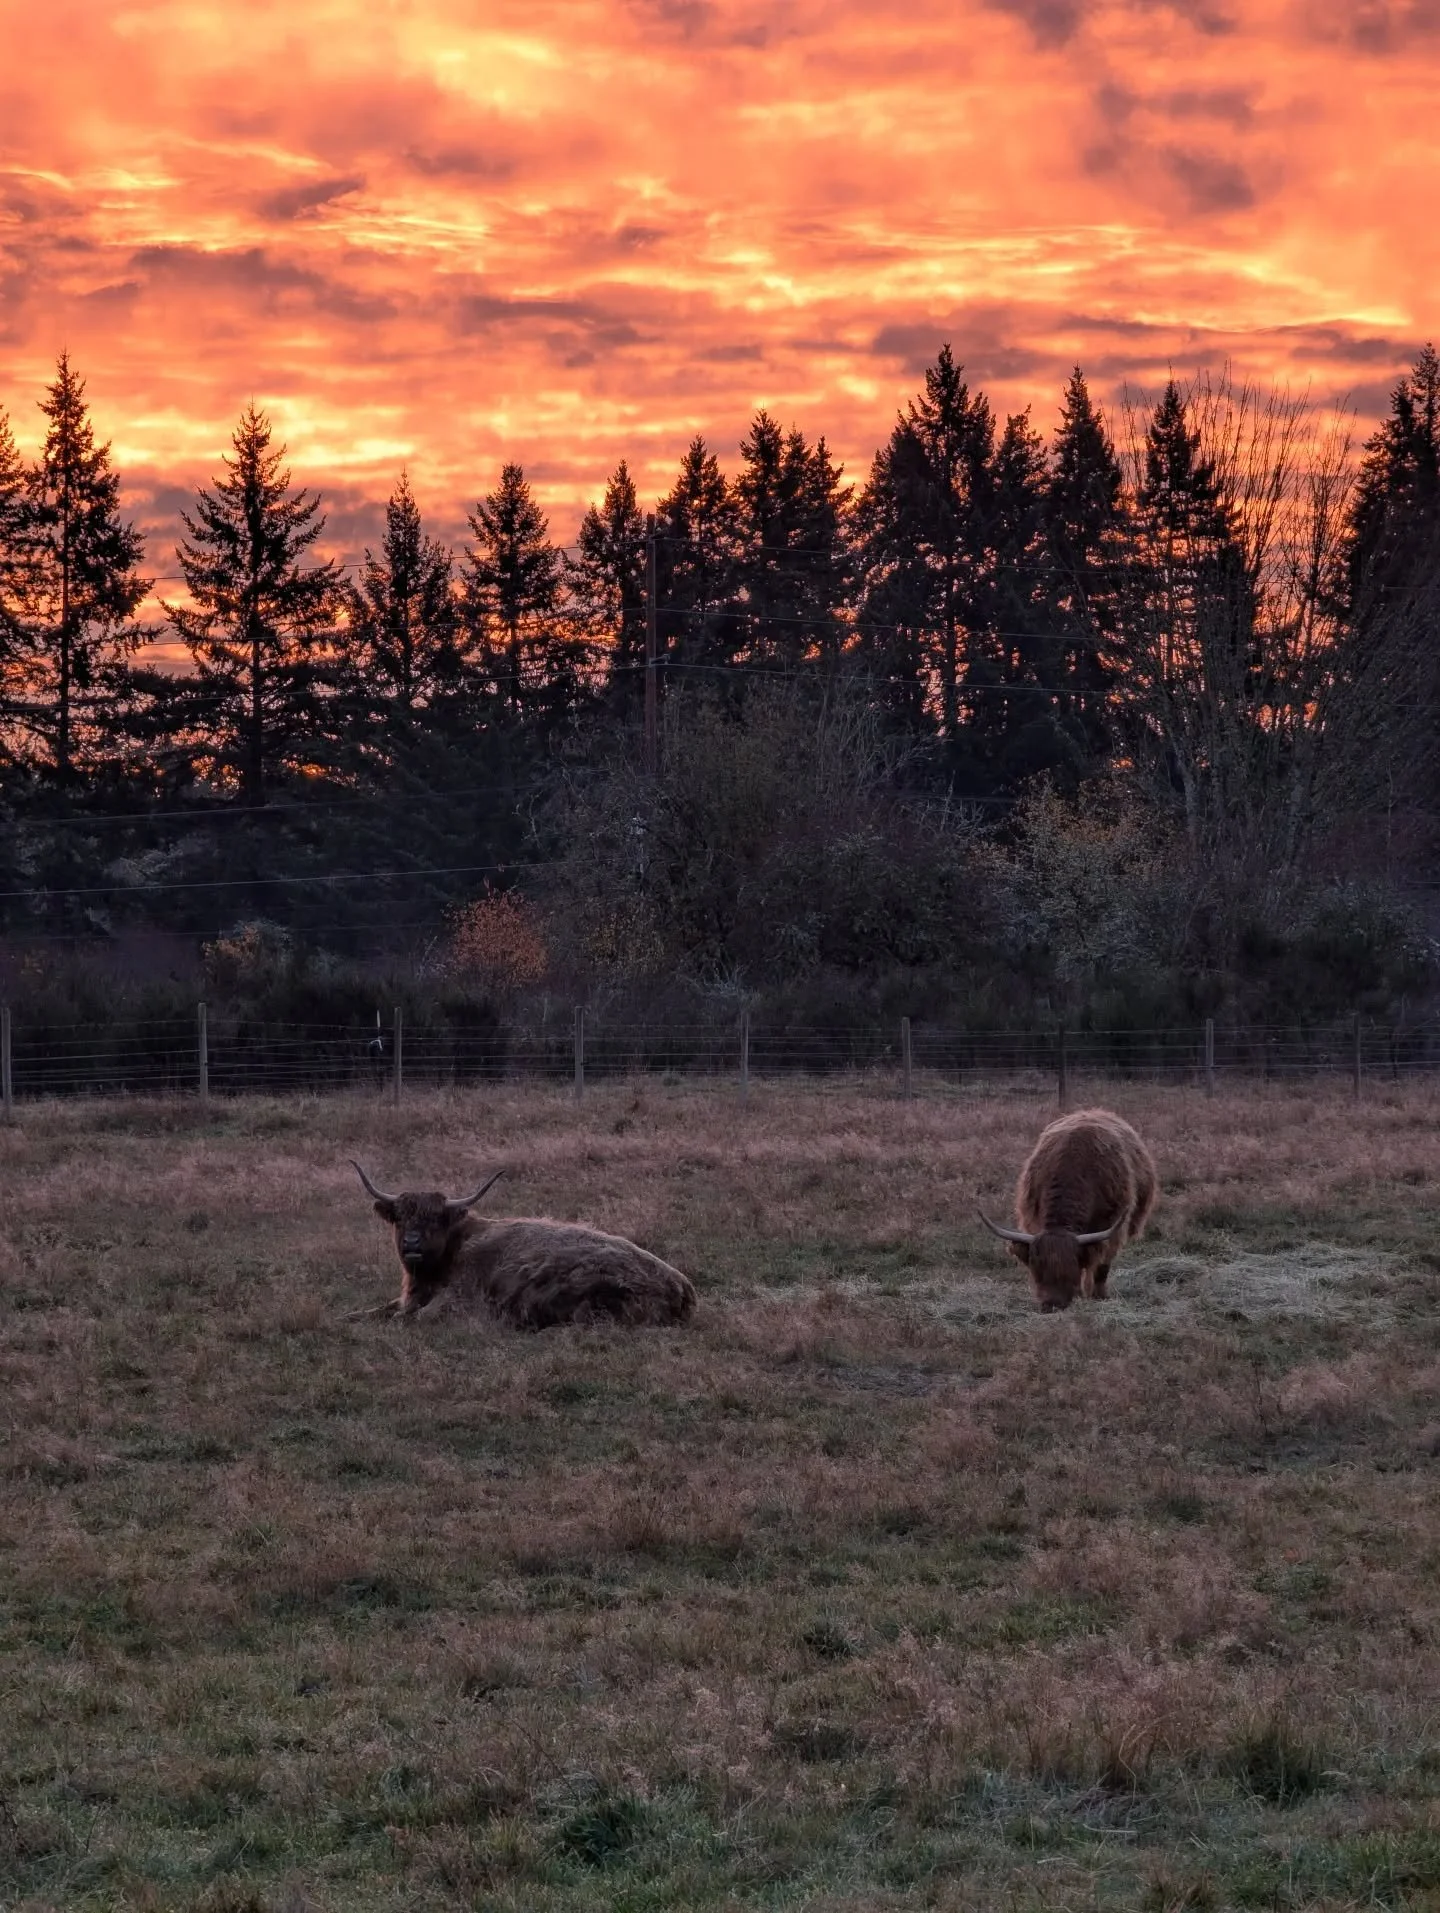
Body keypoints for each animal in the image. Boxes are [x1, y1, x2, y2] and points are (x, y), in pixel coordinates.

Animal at [349, 1162, 697, 1329]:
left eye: (436, 1219)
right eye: (400, 1218)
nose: (412, 1243)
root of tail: (681, 1285)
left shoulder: (459, 1301)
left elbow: (412, 1318)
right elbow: (369, 1312)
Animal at [977, 1107, 1157, 1313]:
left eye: (1070, 1270)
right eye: (1037, 1269)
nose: (1052, 1304)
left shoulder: (1112, 1226)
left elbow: (1101, 1264)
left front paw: (1098, 1295)